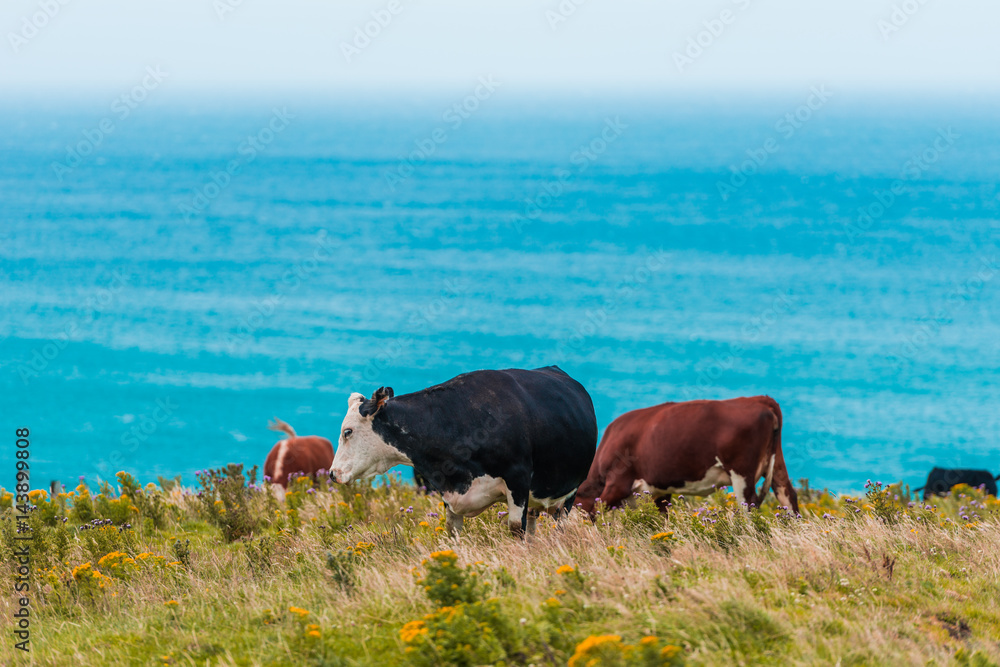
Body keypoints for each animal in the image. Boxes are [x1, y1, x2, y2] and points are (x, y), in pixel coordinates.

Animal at [328, 368, 596, 536]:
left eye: (348, 431)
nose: (332, 473)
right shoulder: (449, 492)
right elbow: (452, 532)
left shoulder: (518, 480)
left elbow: (514, 527)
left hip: (569, 494)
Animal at [576, 396, 800, 516]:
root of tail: (759, 399)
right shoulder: (659, 491)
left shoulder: (618, 482)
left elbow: (597, 509)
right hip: (776, 464)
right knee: (787, 495)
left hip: (741, 471)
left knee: (749, 503)